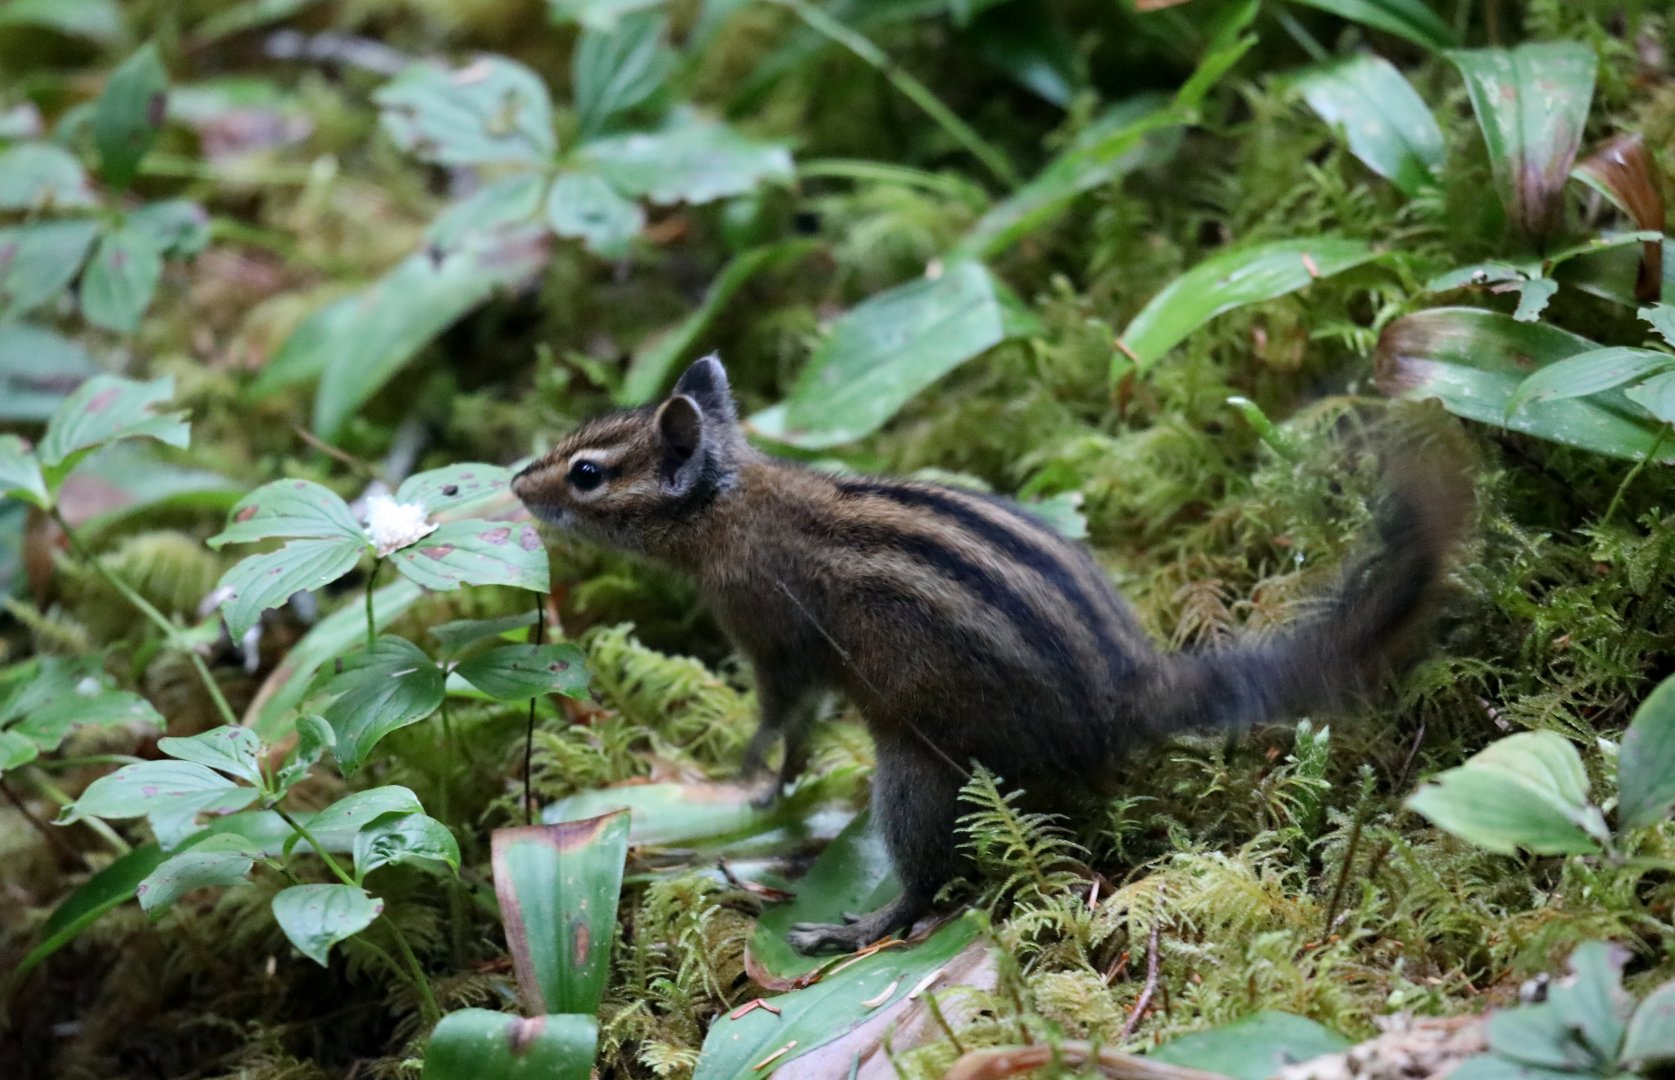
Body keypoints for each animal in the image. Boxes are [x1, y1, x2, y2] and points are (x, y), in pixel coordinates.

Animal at [512, 355, 1472, 955]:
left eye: (588, 473)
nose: (516, 481)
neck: (734, 500)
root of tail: (1134, 686)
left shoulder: (769, 633)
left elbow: (779, 714)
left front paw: (748, 777)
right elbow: (801, 724)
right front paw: (772, 781)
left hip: (916, 769)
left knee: (926, 880)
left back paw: (857, 926)